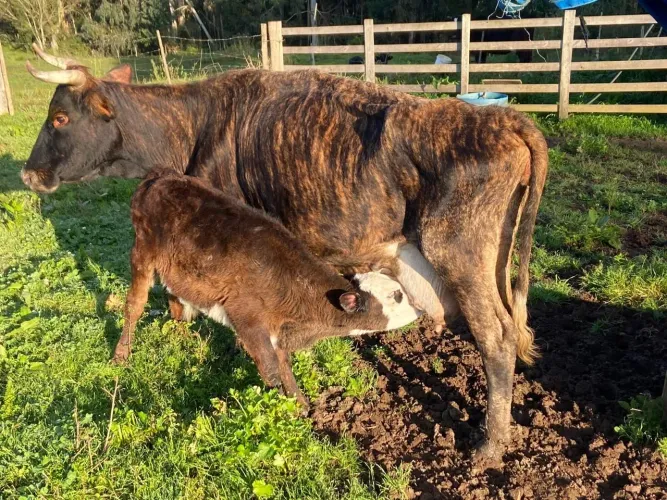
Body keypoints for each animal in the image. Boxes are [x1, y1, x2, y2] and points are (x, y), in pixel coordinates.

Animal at [116, 172, 421, 409]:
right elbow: (272, 371)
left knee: (176, 299)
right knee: (134, 305)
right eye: (397, 295)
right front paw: (279, 409)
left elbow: (285, 366)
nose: (419, 307)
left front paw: (301, 407)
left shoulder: (278, 331)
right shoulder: (247, 318)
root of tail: (160, 177)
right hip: (142, 253)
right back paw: (121, 355)